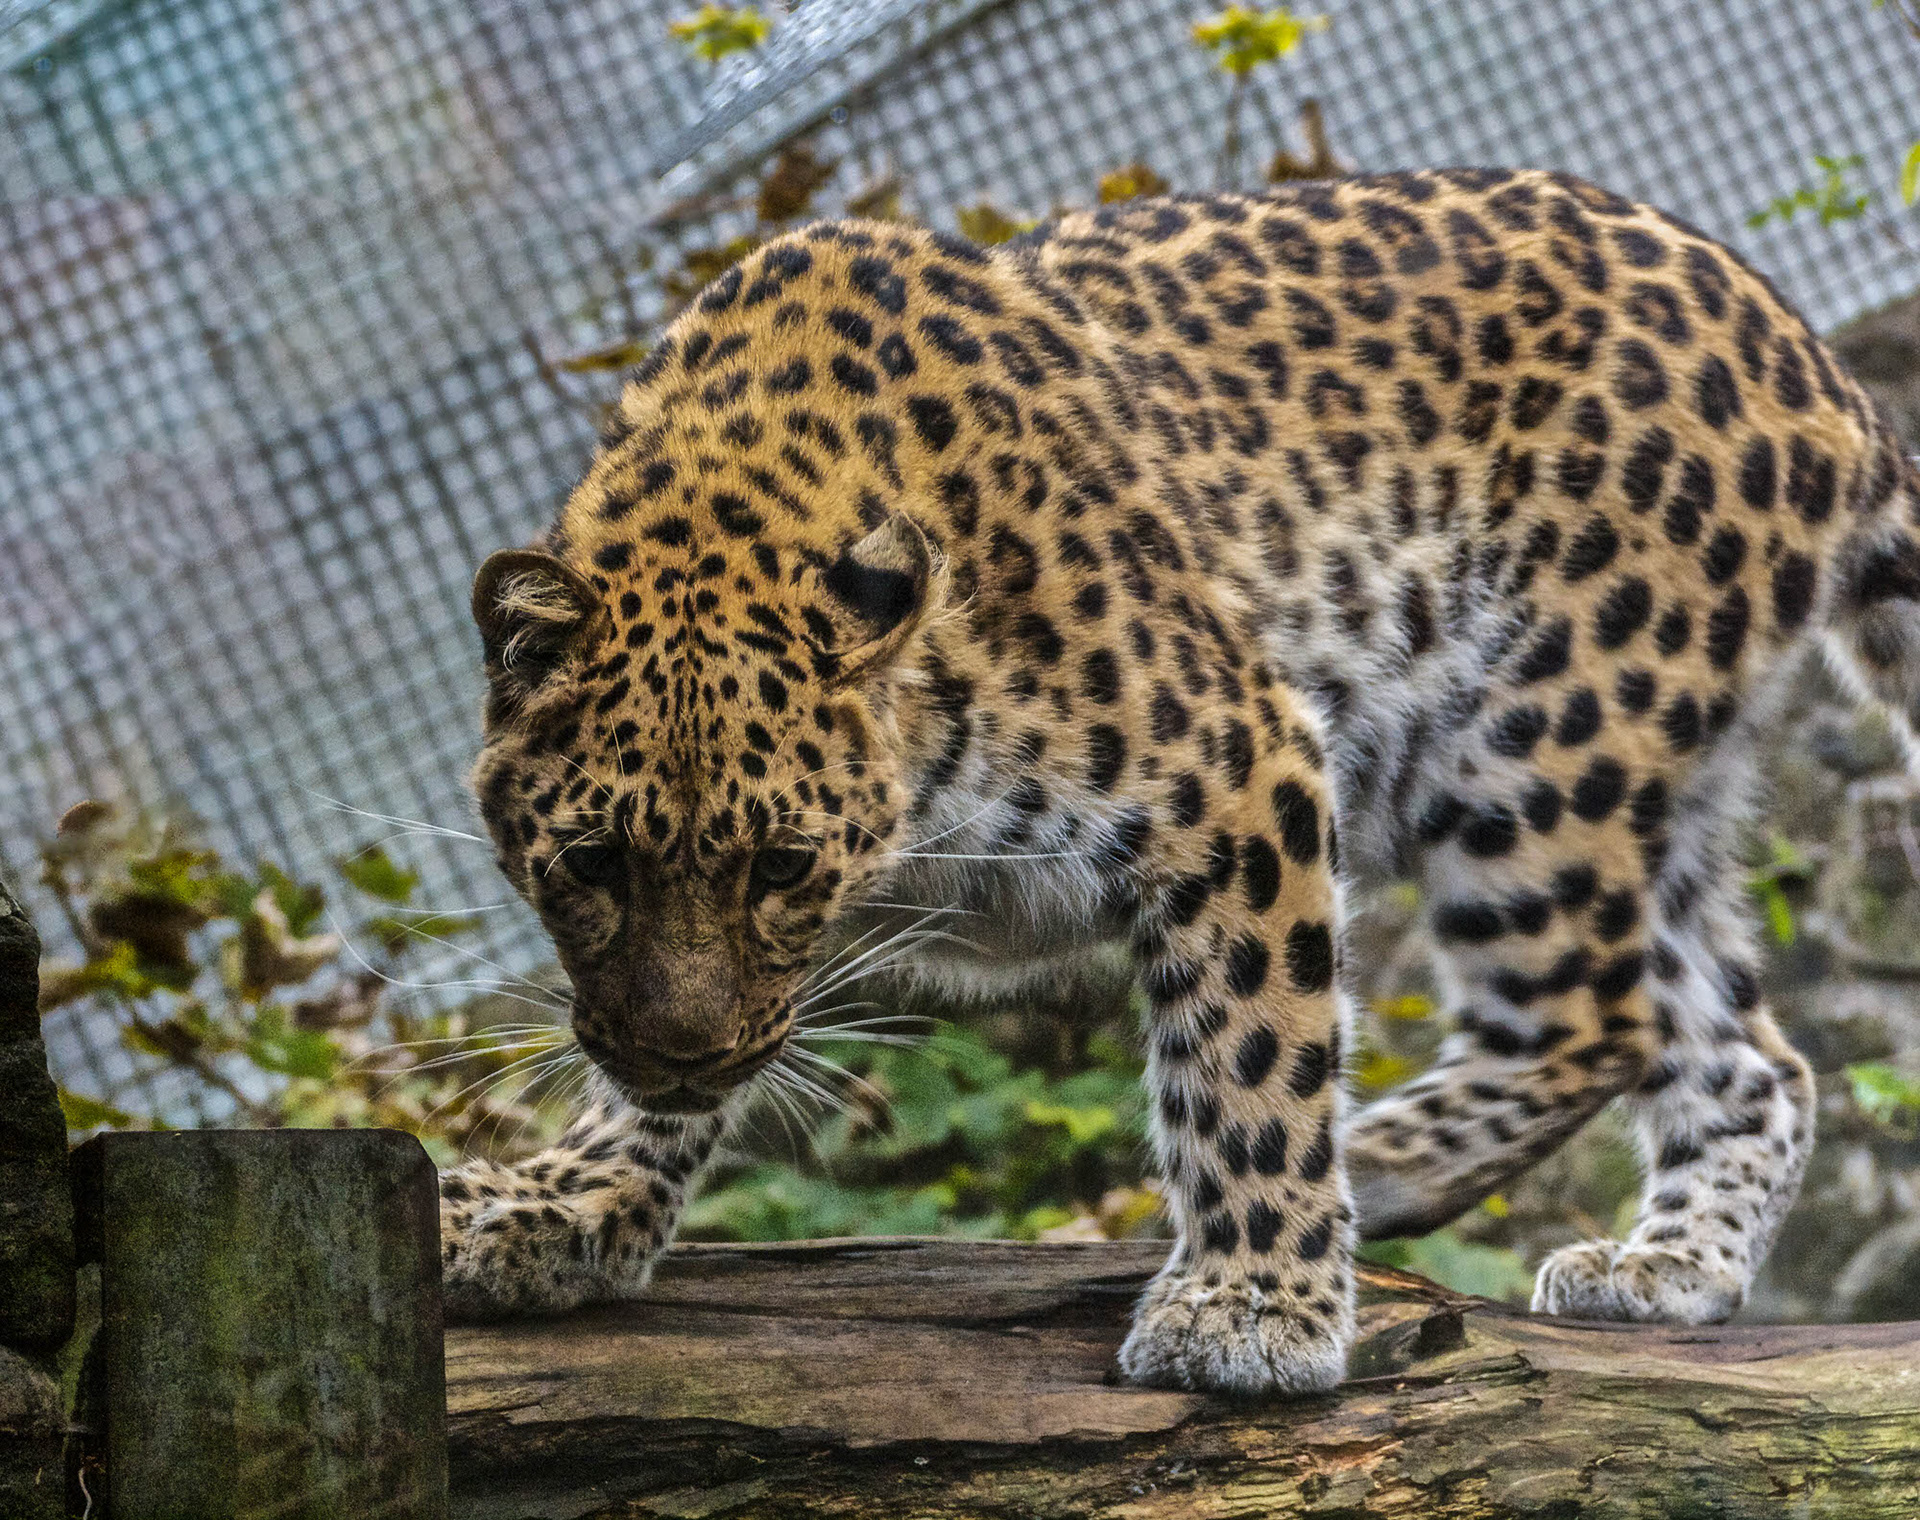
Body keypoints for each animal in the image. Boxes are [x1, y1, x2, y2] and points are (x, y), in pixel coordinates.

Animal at [439, 167, 1920, 1396]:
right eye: (590, 864)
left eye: (783, 866)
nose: (684, 1059)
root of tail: (1818, 364)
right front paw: (561, 1206)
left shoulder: (1242, 767)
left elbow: (1252, 1054)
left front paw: (1249, 1307)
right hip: (1648, 785)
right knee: (1755, 1052)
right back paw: (1666, 1265)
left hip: (1538, 745)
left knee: (1586, 1019)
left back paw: (1376, 1163)